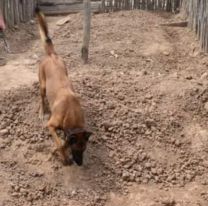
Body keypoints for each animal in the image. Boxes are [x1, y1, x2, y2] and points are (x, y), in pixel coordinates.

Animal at [35, 7, 92, 166]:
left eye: (84, 149)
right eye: (76, 149)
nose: (80, 163)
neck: (70, 112)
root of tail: (52, 55)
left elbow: (63, 142)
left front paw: (60, 153)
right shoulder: (51, 126)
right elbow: (60, 143)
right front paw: (64, 157)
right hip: (42, 86)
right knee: (41, 98)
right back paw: (41, 111)